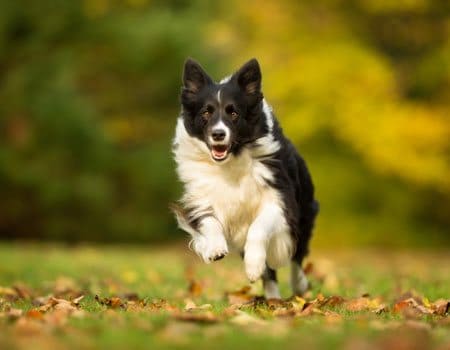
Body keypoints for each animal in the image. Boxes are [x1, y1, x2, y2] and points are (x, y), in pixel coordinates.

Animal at [171, 58, 318, 298]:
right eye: (206, 113)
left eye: (233, 113)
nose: (218, 134)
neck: (231, 162)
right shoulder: (202, 196)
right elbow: (208, 220)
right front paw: (214, 248)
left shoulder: (280, 200)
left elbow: (258, 228)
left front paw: (253, 265)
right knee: (272, 274)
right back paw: (273, 300)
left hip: (305, 210)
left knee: (296, 255)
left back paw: (299, 286)